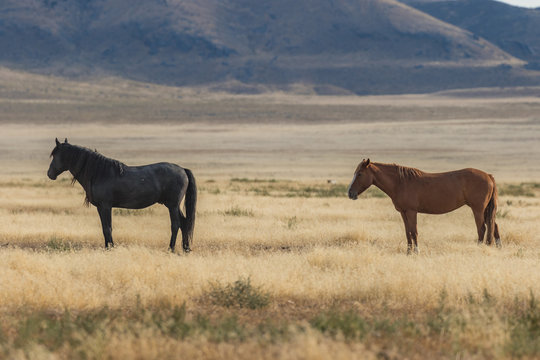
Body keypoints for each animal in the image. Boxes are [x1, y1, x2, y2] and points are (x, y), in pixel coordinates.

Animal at [47, 138, 196, 253]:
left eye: (55, 156)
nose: (49, 174)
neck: (99, 173)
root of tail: (183, 170)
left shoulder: (105, 206)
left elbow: (107, 228)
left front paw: (110, 248)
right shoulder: (101, 207)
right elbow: (105, 228)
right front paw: (108, 247)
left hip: (172, 205)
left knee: (175, 225)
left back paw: (171, 249)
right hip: (174, 206)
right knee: (184, 223)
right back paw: (186, 249)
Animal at [348, 159, 500, 255]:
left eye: (360, 174)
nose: (350, 193)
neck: (401, 182)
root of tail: (488, 175)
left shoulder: (411, 212)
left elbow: (414, 231)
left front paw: (416, 251)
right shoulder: (403, 212)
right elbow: (407, 232)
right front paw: (408, 252)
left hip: (478, 209)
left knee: (482, 228)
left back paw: (479, 248)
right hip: (486, 209)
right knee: (493, 226)